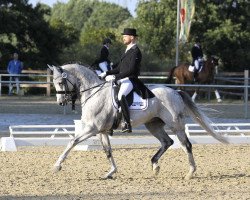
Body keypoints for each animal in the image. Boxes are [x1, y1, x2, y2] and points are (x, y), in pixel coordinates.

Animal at [48, 63, 229, 180]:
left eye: (60, 82)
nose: (60, 102)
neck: (94, 93)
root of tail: (175, 92)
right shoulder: (101, 131)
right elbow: (108, 151)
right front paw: (111, 172)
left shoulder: (91, 128)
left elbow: (72, 142)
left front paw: (56, 166)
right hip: (153, 125)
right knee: (167, 142)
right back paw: (155, 166)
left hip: (175, 125)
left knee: (186, 145)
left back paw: (190, 173)